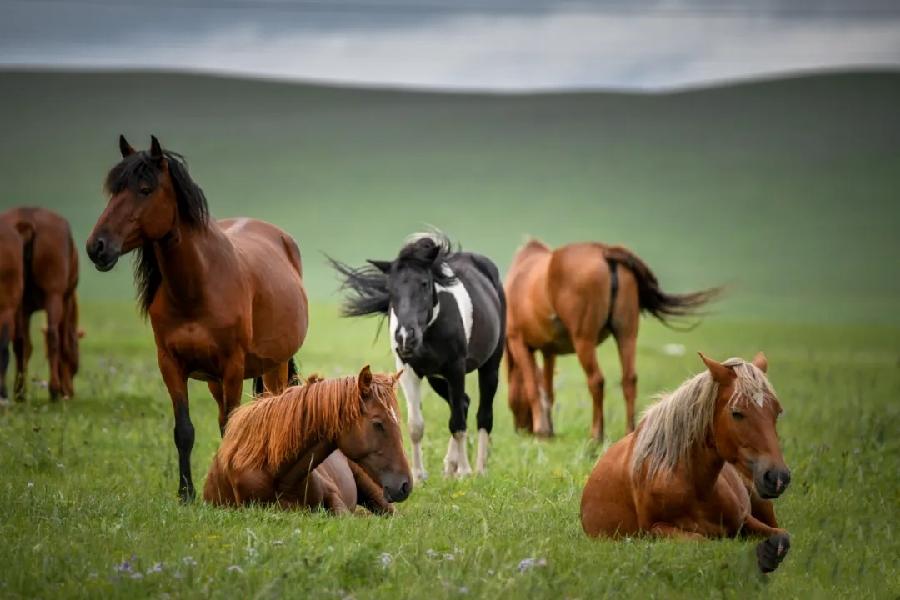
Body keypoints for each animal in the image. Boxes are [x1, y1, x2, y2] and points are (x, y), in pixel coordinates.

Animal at [0, 207, 80, 401]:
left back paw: (20, 392)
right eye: (75, 365)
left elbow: (25, 345)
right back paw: (54, 390)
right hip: (53, 295)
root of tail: (27, 219)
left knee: (19, 343)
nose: (70, 392)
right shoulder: (64, 300)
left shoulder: (24, 308)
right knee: (53, 336)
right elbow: (62, 342)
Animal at [86, 135, 309, 501]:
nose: (97, 247)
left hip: (273, 366)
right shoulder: (171, 364)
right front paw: (187, 492)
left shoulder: (232, 365)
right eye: (114, 190)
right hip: (218, 380)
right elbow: (185, 430)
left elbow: (233, 426)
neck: (197, 288)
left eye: (145, 189)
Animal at [331, 232, 505, 481]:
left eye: (424, 283)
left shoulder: (456, 368)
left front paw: (465, 471)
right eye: (391, 288)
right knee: (463, 403)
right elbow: (416, 426)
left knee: (482, 414)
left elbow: (458, 423)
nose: (405, 337)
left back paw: (479, 469)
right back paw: (449, 467)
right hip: (436, 378)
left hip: (490, 365)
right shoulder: (410, 370)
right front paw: (419, 475)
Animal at [505, 239, 718, 440]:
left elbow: (533, 387)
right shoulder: (549, 350)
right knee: (629, 379)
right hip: (627, 334)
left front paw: (542, 430)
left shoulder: (518, 342)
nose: (521, 429)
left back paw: (596, 434)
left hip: (584, 340)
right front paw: (548, 429)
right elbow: (547, 389)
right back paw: (629, 432)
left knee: (596, 380)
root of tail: (604, 250)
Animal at [580, 353, 792, 573]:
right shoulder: (655, 529)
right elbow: (702, 541)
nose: (778, 477)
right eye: (736, 412)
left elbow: (782, 535)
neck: (694, 485)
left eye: (777, 411)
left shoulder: (744, 519)